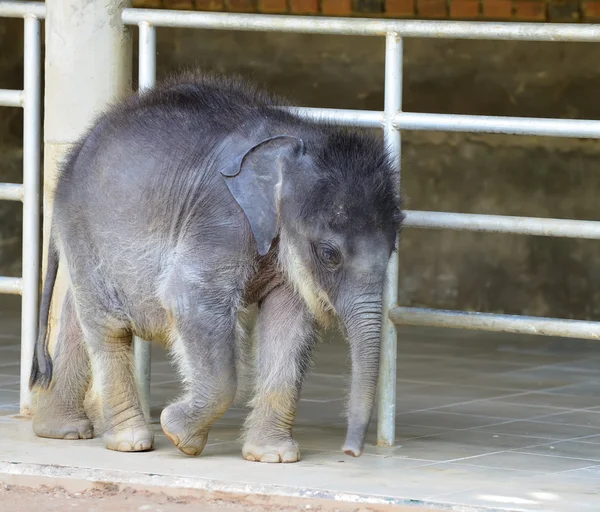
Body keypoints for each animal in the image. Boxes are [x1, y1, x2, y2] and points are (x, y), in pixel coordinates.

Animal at [29, 73, 404, 464]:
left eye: (393, 248)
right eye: (330, 254)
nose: (350, 452)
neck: (296, 142)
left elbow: (288, 320)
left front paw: (273, 457)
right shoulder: (221, 218)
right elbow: (190, 300)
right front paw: (178, 433)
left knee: (78, 314)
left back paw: (62, 431)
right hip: (85, 228)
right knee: (108, 325)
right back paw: (131, 442)